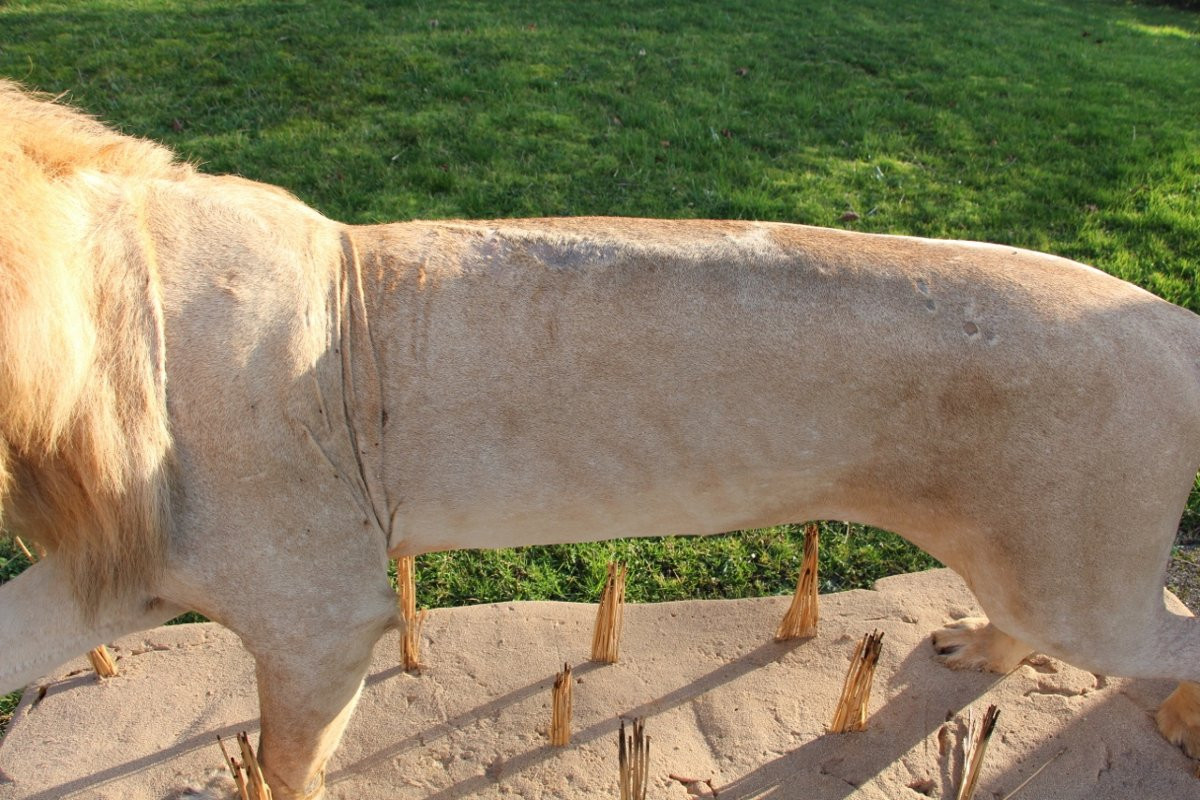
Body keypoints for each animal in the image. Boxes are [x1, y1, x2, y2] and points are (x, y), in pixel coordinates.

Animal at [3, 81, 1200, 799]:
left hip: (1077, 573)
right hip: (1035, 564)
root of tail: (1174, 318)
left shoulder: (316, 614)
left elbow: (289, 760)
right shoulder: (125, 565)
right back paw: (978, 651)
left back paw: (1180, 722)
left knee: (1173, 634)